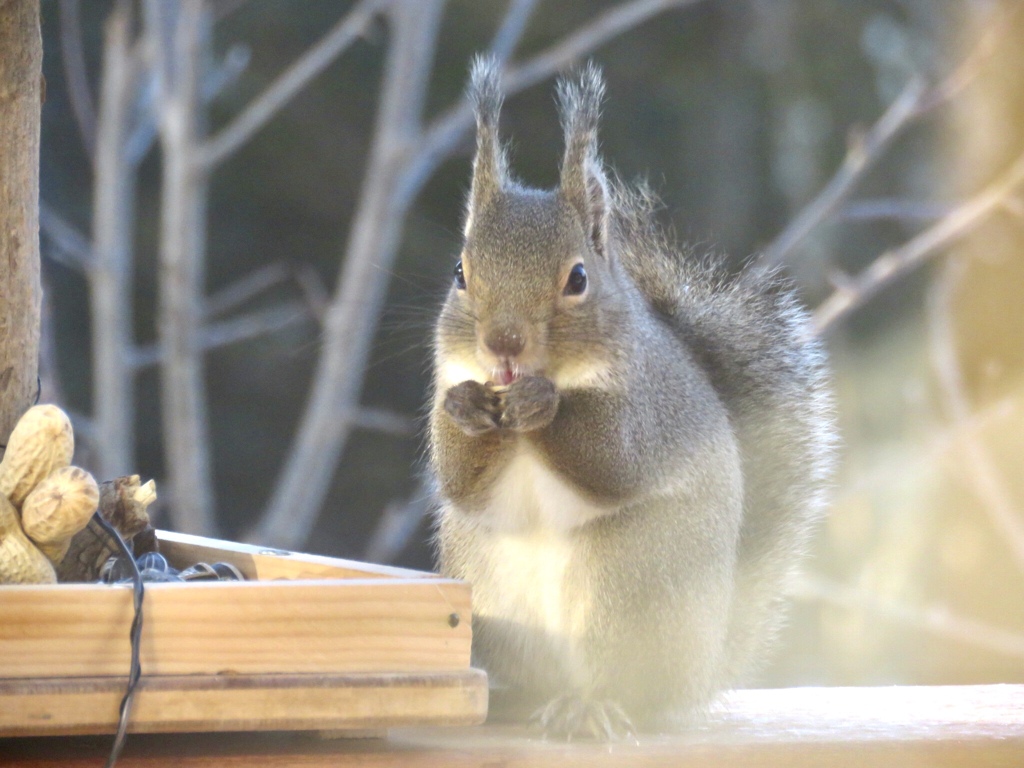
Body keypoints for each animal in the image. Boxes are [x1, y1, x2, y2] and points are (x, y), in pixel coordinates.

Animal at [428, 57, 835, 737]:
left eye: (577, 279)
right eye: (460, 273)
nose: (503, 343)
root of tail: (702, 671)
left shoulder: (648, 407)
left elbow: (614, 460)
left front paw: (542, 408)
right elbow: (459, 480)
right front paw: (464, 409)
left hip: (631, 581)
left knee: (627, 688)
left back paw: (593, 706)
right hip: (487, 586)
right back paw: (513, 701)